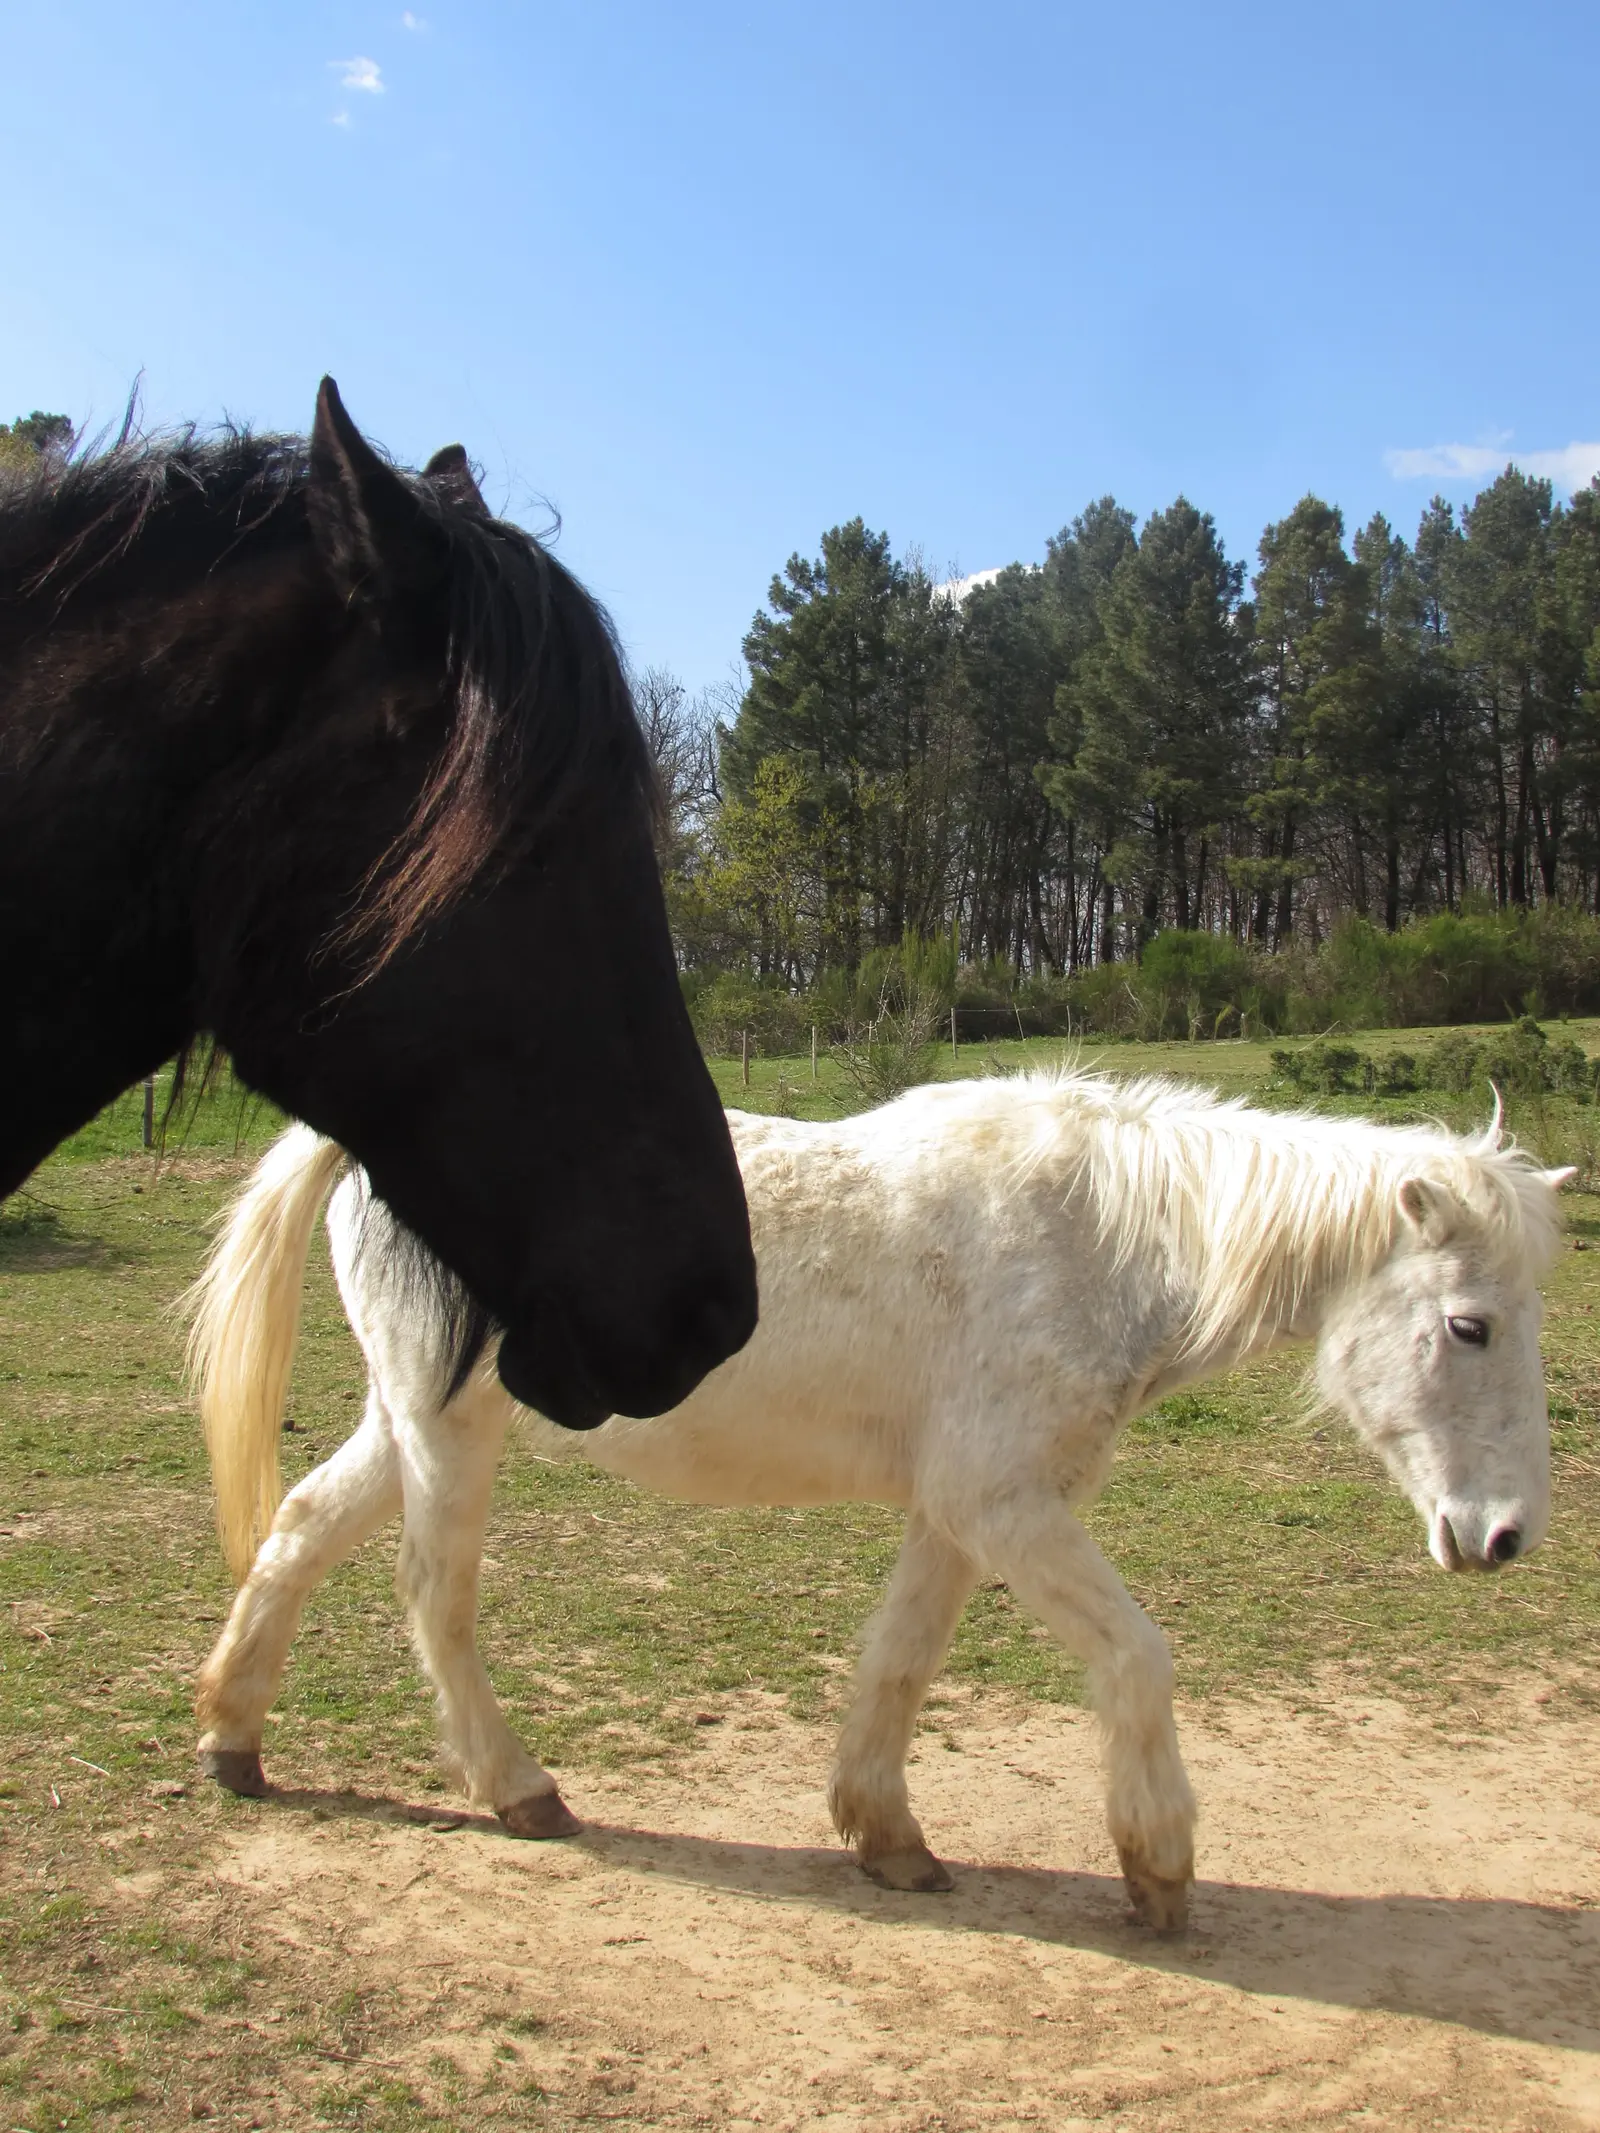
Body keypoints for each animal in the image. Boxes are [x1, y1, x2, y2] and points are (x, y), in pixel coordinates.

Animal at [187, 1072, 1570, 1931]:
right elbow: (1137, 1656)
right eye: (1469, 1325)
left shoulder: (960, 1512)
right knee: (436, 1599)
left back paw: (234, 1741)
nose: (1503, 1535)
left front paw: (884, 1832)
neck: (1097, 1239)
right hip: (447, 1430)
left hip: (406, 1420)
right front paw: (1158, 1865)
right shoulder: (1002, 1502)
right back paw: (517, 1789)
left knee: (298, 1532)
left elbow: (899, 1662)